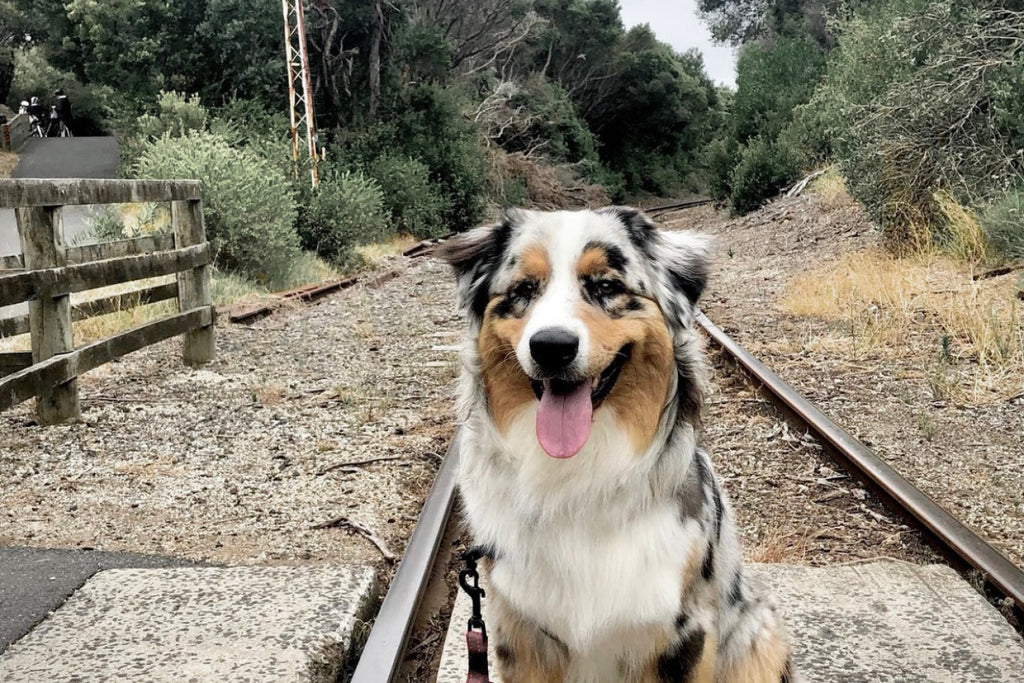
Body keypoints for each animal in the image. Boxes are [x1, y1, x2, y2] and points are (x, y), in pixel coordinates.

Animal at [438, 208, 790, 683]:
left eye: (606, 286)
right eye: (524, 289)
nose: (551, 347)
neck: (578, 477)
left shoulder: (684, 631)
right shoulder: (521, 632)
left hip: (758, 631)